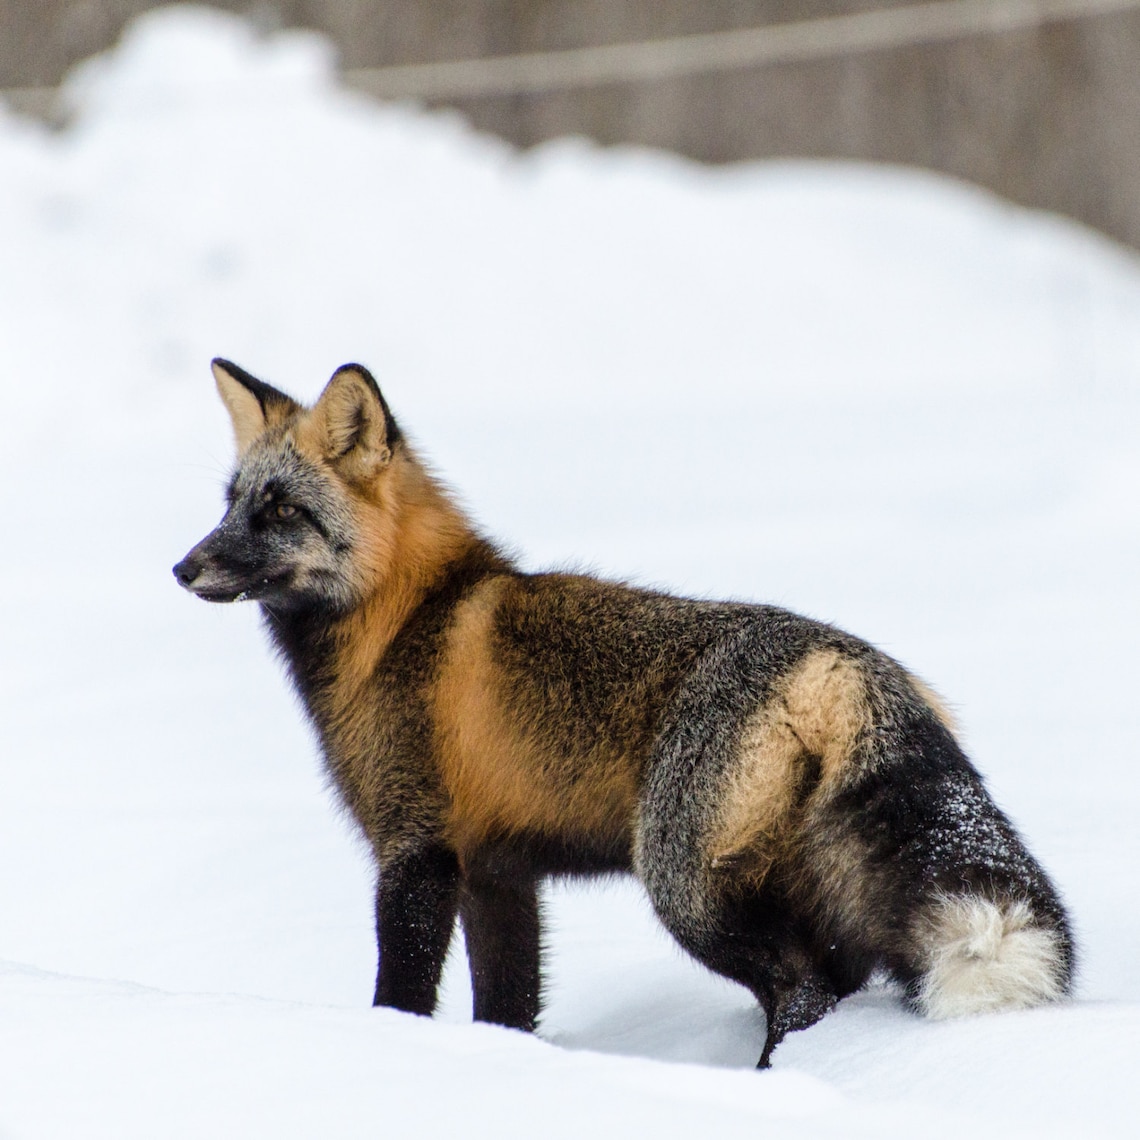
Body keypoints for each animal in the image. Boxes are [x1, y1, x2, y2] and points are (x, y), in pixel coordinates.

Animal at [174, 359, 1073, 1067]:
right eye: (230, 502)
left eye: (282, 511)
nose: (183, 567)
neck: (405, 617)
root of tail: (843, 661)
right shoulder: (498, 873)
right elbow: (507, 1008)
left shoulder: (417, 853)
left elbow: (403, 994)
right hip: (809, 884)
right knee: (836, 982)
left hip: (684, 889)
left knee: (805, 987)